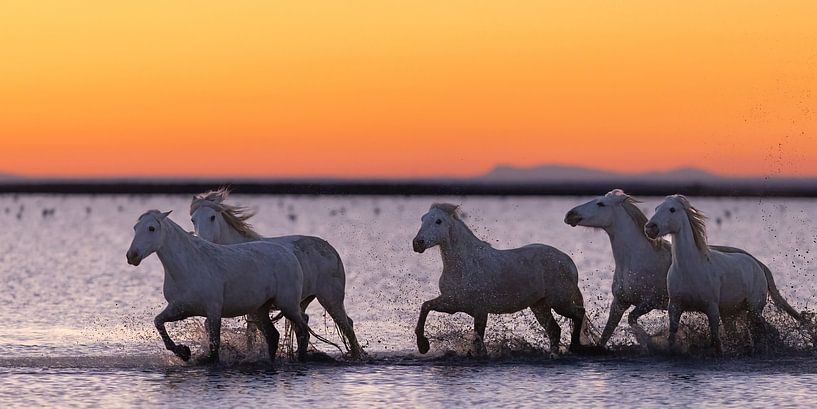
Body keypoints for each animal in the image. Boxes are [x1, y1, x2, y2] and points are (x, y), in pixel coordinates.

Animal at [126, 210, 310, 363]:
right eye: (135, 228)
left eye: (151, 228)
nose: (132, 256)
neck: (188, 266)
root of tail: (290, 254)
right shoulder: (181, 308)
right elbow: (158, 322)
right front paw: (183, 352)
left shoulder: (213, 310)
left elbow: (214, 347)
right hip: (260, 310)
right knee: (273, 336)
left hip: (288, 305)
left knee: (303, 331)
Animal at [189, 188, 363, 359]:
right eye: (193, 219)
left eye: (212, 217)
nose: (202, 241)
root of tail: (331, 249)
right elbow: (247, 333)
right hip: (304, 300)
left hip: (330, 299)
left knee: (346, 325)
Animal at [412, 203, 591, 357]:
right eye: (422, 219)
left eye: (438, 221)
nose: (417, 244)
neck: (464, 265)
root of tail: (568, 262)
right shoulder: (452, 303)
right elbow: (425, 306)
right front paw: (423, 346)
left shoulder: (479, 310)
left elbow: (478, 339)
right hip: (540, 306)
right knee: (555, 330)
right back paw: (554, 354)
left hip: (559, 302)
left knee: (579, 313)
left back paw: (575, 347)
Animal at [644, 195, 800, 354]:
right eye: (656, 208)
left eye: (672, 209)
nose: (650, 228)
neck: (690, 268)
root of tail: (759, 265)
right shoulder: (675, 307)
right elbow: (671, 338)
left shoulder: (712, 308)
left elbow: (716, 341)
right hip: (730, 313)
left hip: (754, 308)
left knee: (763, 328)